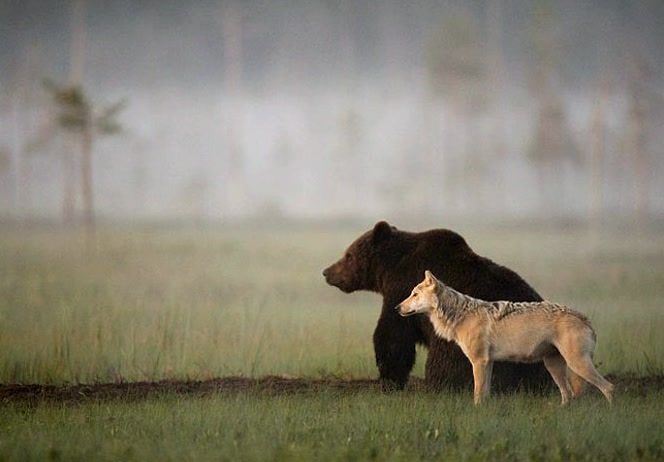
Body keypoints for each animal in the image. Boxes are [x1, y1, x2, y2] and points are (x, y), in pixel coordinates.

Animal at [322, 220, 551, 392]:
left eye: (348, 255)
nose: (327, 271)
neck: (390, 268)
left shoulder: (401, 289)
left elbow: (393, 335)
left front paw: (389, 379)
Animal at [396, 271, 614, 405]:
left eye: (414, 294)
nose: (397, 308)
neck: (460, 315)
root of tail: (584, 318)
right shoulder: (488, 362)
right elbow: (485, 393)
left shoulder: (479, 362)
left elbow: (477, 393)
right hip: (554, 366)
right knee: (568, 395)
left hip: (577, 364)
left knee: (609, 387)